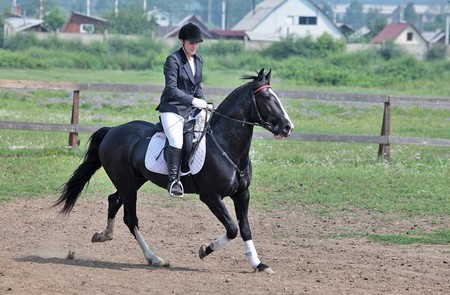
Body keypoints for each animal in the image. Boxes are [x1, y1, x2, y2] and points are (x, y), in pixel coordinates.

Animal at [54, 69, 294, 276]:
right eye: (266, 98)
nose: (287, 127)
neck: (226, 146)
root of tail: (112, 130)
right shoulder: (211, 197)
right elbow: (232, 228)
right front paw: (205, 249)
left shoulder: (242, 195)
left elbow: (245, 229)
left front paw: (259, 264)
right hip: (127, 183)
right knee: (130, 218)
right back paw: (154, 258)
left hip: (133, 181)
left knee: (114, 201)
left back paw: (104, 235)